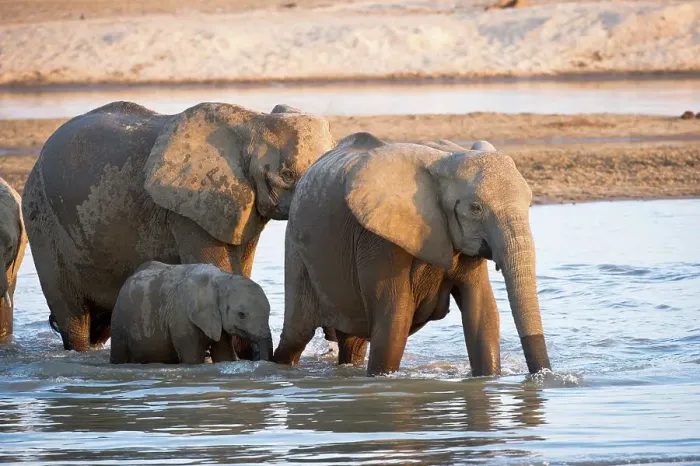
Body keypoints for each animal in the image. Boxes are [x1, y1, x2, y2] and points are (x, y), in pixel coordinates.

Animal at [110, 261, 272, 364]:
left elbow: (224, 355)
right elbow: (193, 358)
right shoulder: (181, 319)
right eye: (241, 315)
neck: (221, 279)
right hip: (119, 322)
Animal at [274, 133, 551, 376]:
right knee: (296, 335)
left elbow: (482, 315)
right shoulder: (380, 240)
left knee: (353, 343)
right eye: (475, 208)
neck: (446, 159)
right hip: (296, 248)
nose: (543, 375)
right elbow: (394, 322)